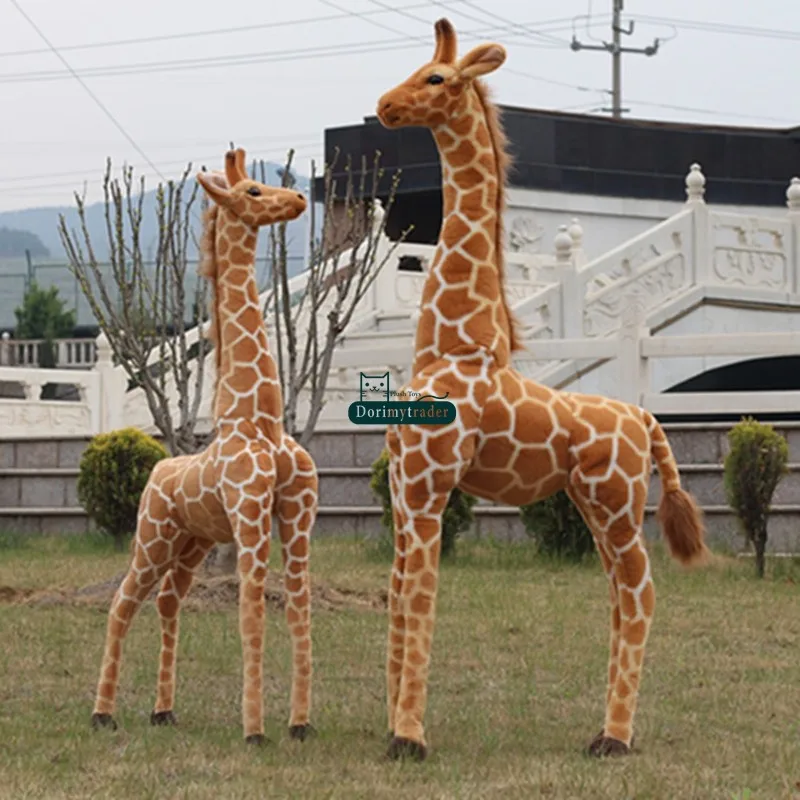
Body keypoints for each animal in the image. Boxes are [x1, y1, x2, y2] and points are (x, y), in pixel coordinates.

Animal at [90, 148, 318, 745]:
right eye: (254, 192)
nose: (299, 198)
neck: (257, 420)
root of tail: (156, 469)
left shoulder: (298, 513)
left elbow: (299, 607)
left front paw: (300, 724)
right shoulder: (251, 516)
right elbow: (251, 613)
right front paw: (255, 731)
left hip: (190, 545)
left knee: (169, 601)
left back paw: (162, 710)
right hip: (151, 536)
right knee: (122, 603)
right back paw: (102, 714)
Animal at [375, 18, 710, 762]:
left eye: (435, 78)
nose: (383, 106)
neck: (453, 344)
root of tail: (648, 423)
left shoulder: (431, 484)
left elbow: (421, 597)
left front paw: (411, 736)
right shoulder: (406, 486)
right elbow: (398, 593)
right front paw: (390, 729)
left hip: (615, 502)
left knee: (641, 592)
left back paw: (615, 738)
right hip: (594, 502)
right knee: (621, 596)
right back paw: (603, 729)